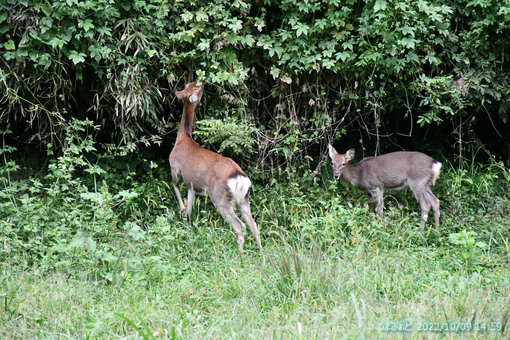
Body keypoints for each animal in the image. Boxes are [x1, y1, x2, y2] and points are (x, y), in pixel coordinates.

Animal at [170, 81, 260, 252]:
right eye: (190, 85)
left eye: (195, 87)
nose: (200, 81)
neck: (183, 138)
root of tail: (238, 177)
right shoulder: (192, 184)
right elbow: (190, 206)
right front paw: (187, 223)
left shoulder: (175, 168)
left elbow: (175, 186)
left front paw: (182, 211)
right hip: (244, 198)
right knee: (254, 225)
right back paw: (262, 253)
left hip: (219, 197)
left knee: (240, 226)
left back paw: (240, 254)